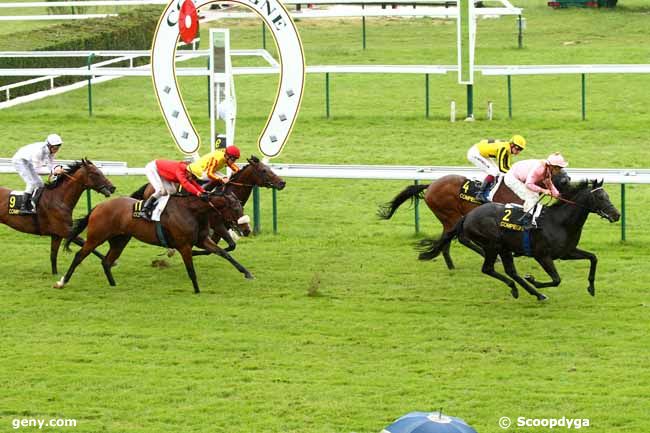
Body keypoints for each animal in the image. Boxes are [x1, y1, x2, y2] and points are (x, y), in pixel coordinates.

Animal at [55, 192, 247, 294]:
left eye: (240, 206)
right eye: (236, 207)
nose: (245, 228)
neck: (192, 211)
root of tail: (98, 206)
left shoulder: (202, 240)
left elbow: (224, 253)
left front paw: (247, 273)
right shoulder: (184, 245)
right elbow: (191, 270)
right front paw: (197, 289)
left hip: (120, 240)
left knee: (106, 261)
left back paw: (113, 285)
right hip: (96, 237)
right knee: (80, 256)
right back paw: (62, 282)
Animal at [130, 155, 284, 251]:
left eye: (270, 168)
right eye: (264, 170)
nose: (282, 183)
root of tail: (148, 186)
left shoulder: (225, 225)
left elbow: (228, 245)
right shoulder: (217, 224)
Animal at [374, 171, 568, 266]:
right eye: (558, 174)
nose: (568, 179)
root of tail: (430, 185)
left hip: (449, 217)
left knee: (449, 237)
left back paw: (450, 264)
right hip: (450, 215)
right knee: (459, 237)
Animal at [416, 179, 616, 300]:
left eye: (608, 195)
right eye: (600, 197)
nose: (617, 214)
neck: (559, 222)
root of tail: (467, 217)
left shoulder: (566, 252)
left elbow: (593, 258)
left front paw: (591, 288)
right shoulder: (542, 255)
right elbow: (556, 279)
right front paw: (534, 280)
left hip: (503, 247)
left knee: (510, 271)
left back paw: (534, 293)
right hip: (493, 244)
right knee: (489, 268)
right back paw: (522, 289)